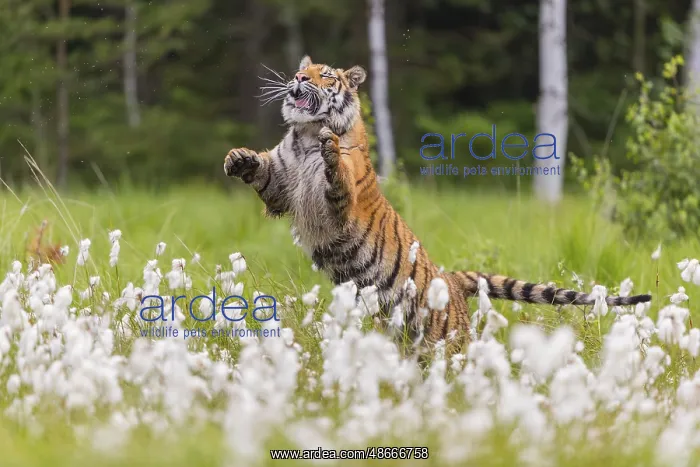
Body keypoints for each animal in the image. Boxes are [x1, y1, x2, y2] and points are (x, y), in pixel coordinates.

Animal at [223, 55, 652, 354]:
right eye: (304, 70)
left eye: (325, 75)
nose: (298, 79)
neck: (308, 133)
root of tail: (453, 279)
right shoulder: (281, 184)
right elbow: (263, 172)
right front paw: (238, 158)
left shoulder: (339, 205)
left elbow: (337, 174)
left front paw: (332, 149)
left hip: (446, 336)